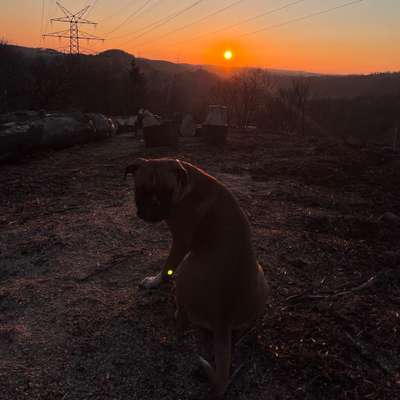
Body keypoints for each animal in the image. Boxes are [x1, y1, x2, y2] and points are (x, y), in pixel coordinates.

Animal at [125, 159, 268, 396]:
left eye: (166, 191)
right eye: (141, 189)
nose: (152, 208)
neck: (187, 183)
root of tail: (223, 319)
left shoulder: (181, 242)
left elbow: (167, 267)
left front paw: (155, 281)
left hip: (186, 269)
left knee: (182, 321)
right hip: (261, 275)